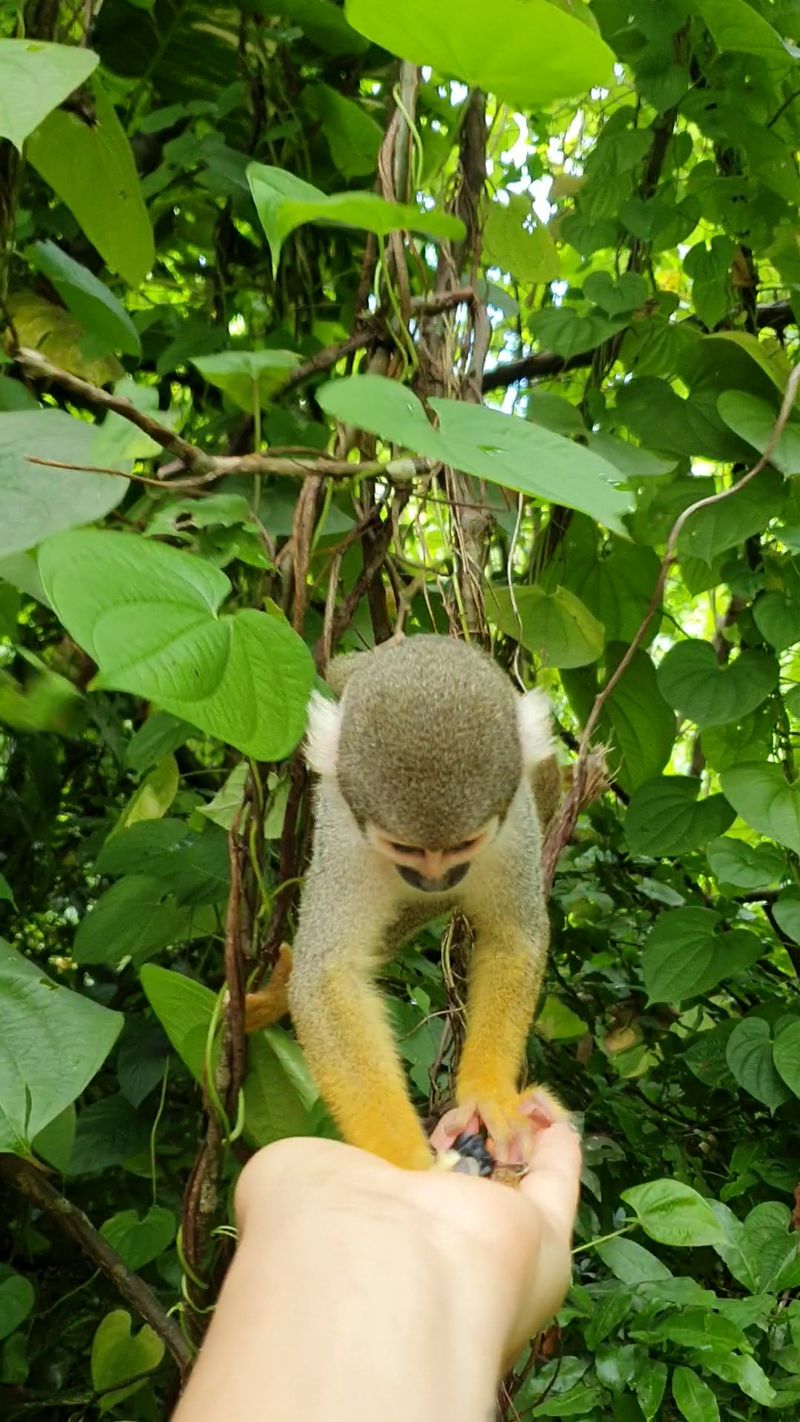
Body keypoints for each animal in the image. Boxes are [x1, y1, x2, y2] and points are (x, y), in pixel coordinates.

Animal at [245, 634, 565, 1171]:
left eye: (463, 845)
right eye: (405, 848)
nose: (435, 879)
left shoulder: (513, 823)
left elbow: (514, 936)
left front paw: (489, 1095)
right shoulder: (345, 832)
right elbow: (328, 975)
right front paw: (410, 1165)